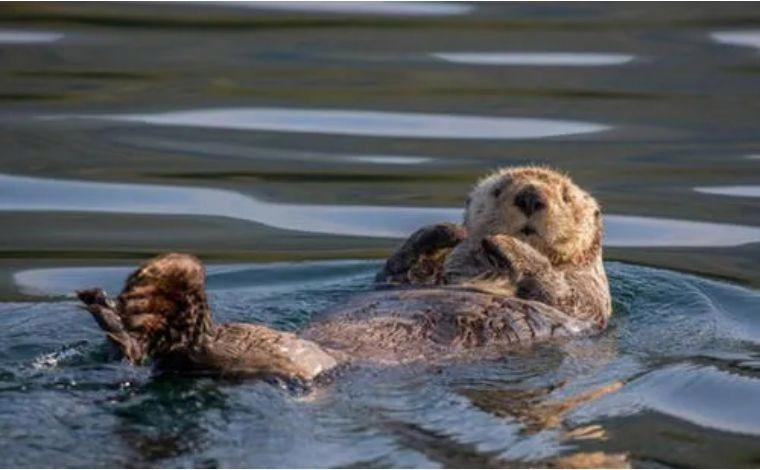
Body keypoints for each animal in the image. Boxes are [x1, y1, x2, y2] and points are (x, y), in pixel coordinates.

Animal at [78, 165, 612, 382]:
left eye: (565, 194)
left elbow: (559, 291)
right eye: (500, 189)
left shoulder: (588, 298)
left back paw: (157, 301)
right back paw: (127, 318)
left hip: (285, 354)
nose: (531, 195)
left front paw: (506, 245)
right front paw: (444, 231)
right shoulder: (408, 279)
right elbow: (396, 272)